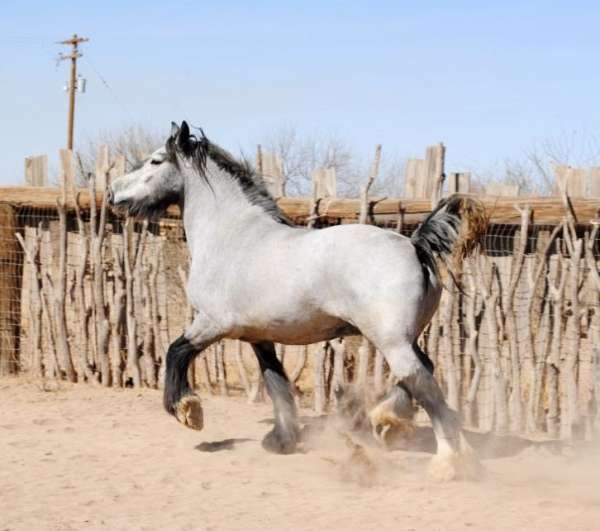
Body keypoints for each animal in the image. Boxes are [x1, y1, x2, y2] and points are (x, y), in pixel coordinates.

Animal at [108, 123, 482, 482]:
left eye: (155, 161)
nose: (112, 192)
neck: (232, 236)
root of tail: (415, 245)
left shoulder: (213, 323)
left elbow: (176, 352)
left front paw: (188, 411)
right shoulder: (258, 337)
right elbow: (276, 384)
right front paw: (280, 441)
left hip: (391, 341)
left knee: (423, 384)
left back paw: (445, 462)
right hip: (403, 337)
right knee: (423, 372)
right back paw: (391, 423)